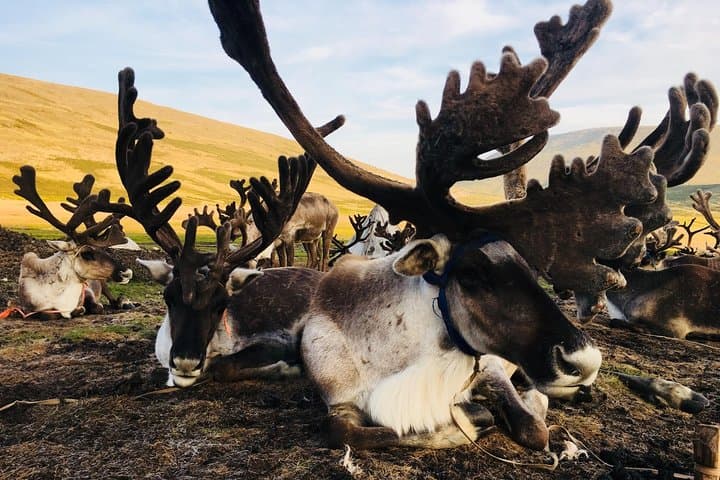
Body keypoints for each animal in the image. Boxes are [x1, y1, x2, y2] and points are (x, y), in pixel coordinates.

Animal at [1, 169, 134, 320]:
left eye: (106, 250)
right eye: (86, 253)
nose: (127, 272)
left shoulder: (88, 293)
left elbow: (96, 306)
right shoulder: (28, 308)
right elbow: (48, 314)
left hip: (102, 281)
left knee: (113, 299)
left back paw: (125, 302)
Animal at [205, 0, 714, 450]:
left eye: (532, 268)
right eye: (471, 273)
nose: (582, 359)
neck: (396, 357)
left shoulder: (492, 368)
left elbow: (531, 425)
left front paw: (503, 414)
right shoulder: (338, 394)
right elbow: (352, 431)